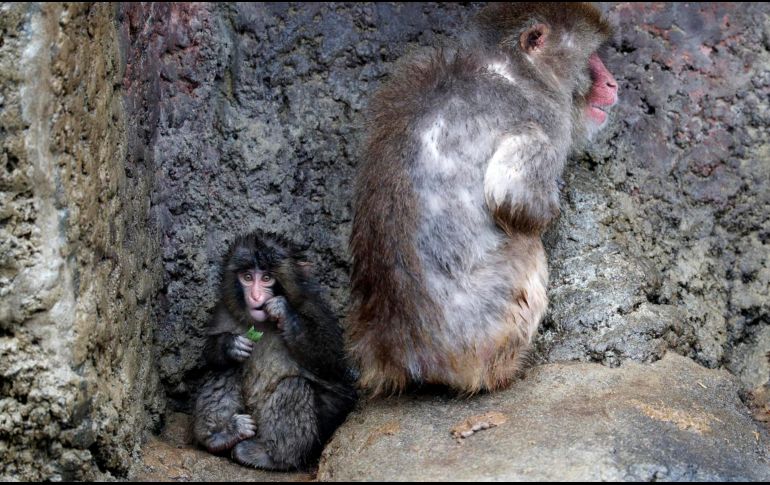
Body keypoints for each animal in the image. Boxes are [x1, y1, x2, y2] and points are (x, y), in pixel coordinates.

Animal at [192, 230, 357, 471]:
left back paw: (272, 457)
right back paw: (221, 436)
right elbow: (209, 355)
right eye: (247, 277)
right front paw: (230, 345)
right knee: (226, 369)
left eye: (267, 278)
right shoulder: (224, 310)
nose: (255, 297)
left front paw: (285, 313)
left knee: (294, 386)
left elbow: (334, 364)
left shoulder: (315, 309)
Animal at [348, 3, 618, 395]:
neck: (513, 68)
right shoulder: (544, 119)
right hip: (485, 331)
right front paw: (550, 208)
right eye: (593, 59)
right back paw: (506, 371)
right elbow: (513, 198)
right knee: (526, 248)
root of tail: (400, 352)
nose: (613, 84)